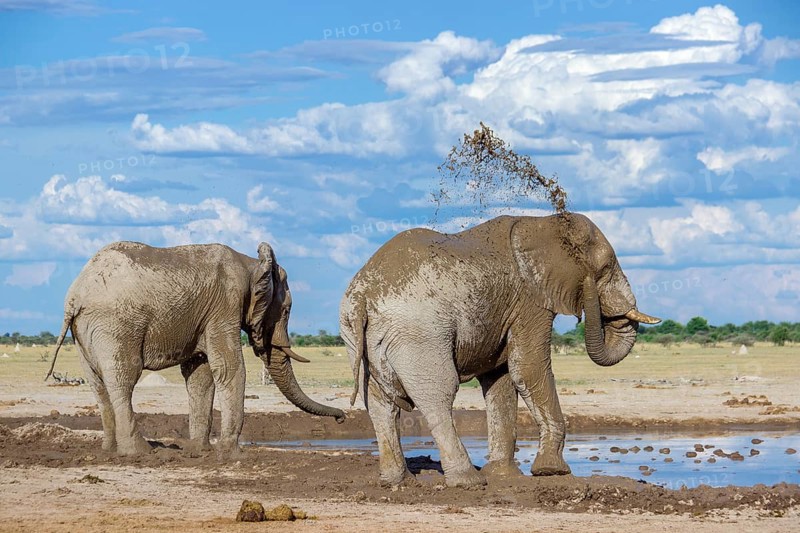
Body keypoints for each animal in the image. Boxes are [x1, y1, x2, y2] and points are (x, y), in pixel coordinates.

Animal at [47, 241, 345, 457]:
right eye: (286, 310)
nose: (342, 418)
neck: (251, 263)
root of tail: (75, 295)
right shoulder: (225, 305)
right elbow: (229, 368)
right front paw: (231, 454)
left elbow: (200, 375)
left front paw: (200, 451)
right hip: (116, 325)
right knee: (123, 379)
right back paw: (140, 452)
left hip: (85, 332)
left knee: (97, 384)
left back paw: (109, 451)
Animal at [339, 214, 659, 487]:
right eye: (605, 269)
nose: (590, 289)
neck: (544, 223)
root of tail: (363, 297)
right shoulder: (530, 299)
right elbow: (527, 369)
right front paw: (552, 471)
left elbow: (501, 379)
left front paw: (504, 475)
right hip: (420, 333)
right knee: (437, 394)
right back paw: (468, 481)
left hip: (360, 338)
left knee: (380, 403)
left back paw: (398, 481)